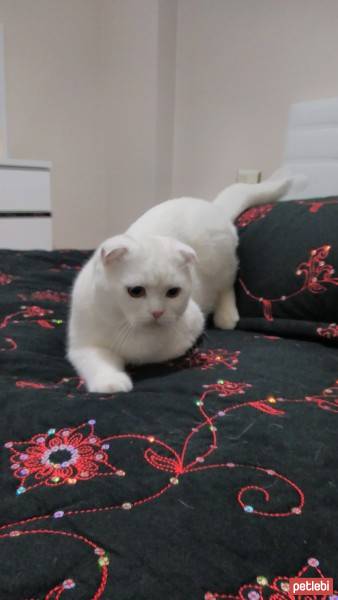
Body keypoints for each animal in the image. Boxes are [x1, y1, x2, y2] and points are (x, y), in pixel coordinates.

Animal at [68, 178, 290, 394]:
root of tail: (209, 204)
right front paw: (111, 381)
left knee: (226, 286)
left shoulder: (189, 329)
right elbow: (97, 361)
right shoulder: (82, 345)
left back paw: (226, 316)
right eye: (136, 291)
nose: (157, 312)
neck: (125, 326)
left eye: (173, 292)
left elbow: (152, 354)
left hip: (221, 261)